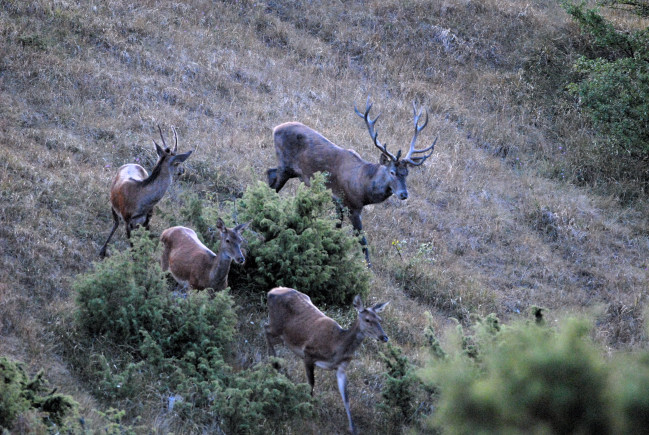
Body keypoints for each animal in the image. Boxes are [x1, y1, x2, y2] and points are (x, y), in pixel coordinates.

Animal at [97, 125, 191, 258]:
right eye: (177, 162)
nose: (182, 171)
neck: (141, 202)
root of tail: (131, 163)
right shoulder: (127, 219)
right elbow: (132, 248)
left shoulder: (147, 221)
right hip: (113, 205)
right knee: (115, 223)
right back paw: (103, 251)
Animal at [266, 99, 438, 266]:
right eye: (392, 172)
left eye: (406, 173)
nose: (404, 194)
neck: (362, 187)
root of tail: (275, 128)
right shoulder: (351, 205)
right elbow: (362, 240)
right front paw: (368, 267)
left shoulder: (339, 203)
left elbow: (337, 228)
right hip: (285, 164)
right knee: (274, 186)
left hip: (292, 171)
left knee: (270, 173)